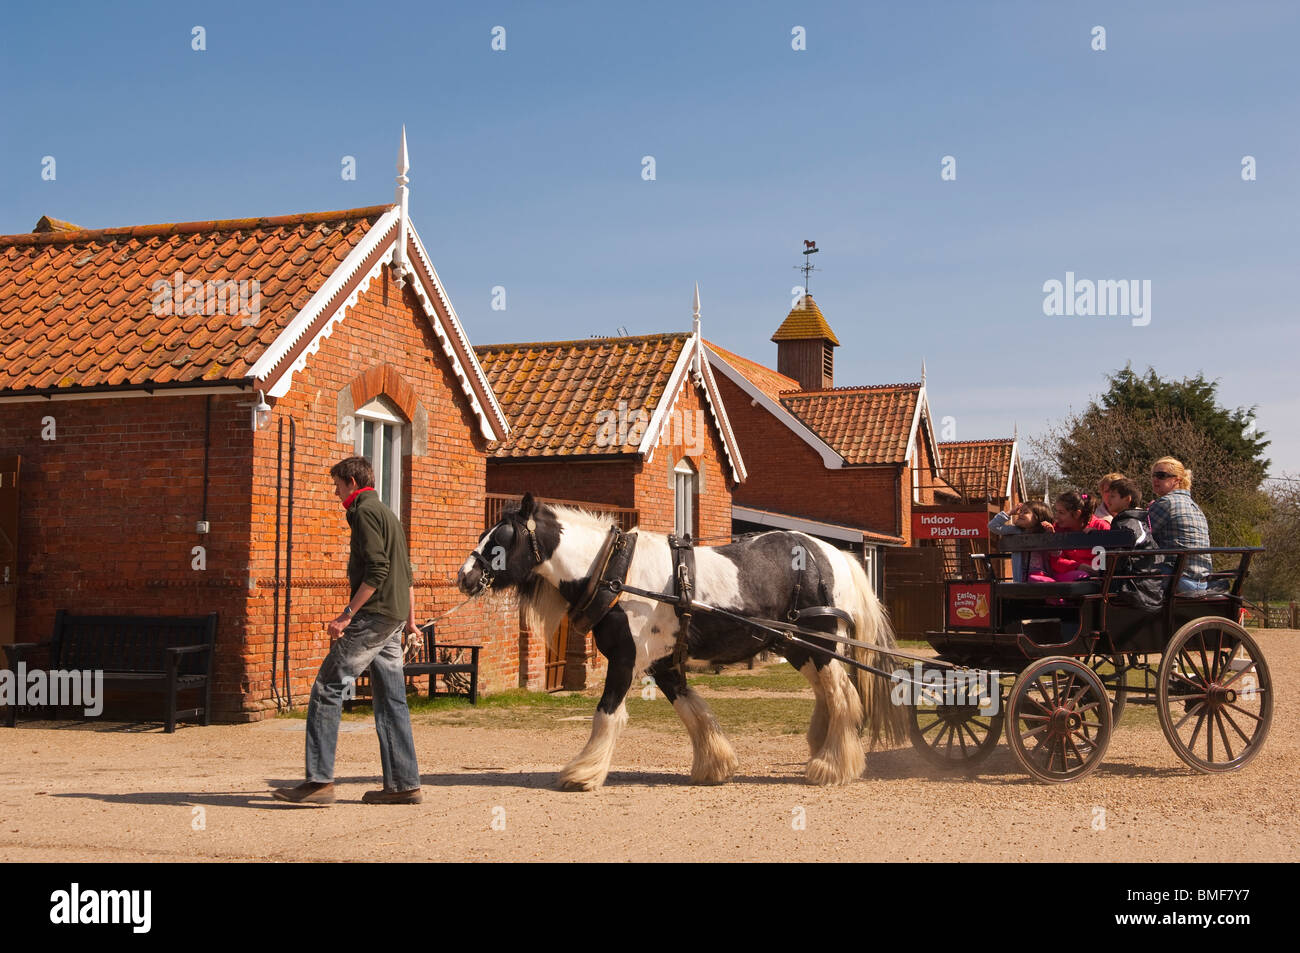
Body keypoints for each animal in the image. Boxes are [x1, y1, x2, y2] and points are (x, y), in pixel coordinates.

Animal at [457, 491, 904, 790]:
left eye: (500, 540)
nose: (464, 576)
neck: (615, 573)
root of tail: (835, 555)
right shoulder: (664, 663)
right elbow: (693, 712)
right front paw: (715, 765)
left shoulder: (624, 659)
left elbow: (606, 713)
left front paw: (582, 772)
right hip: (799, 648)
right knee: (830, 696)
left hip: (821, 647)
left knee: (843, 697)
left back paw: (832, 767)